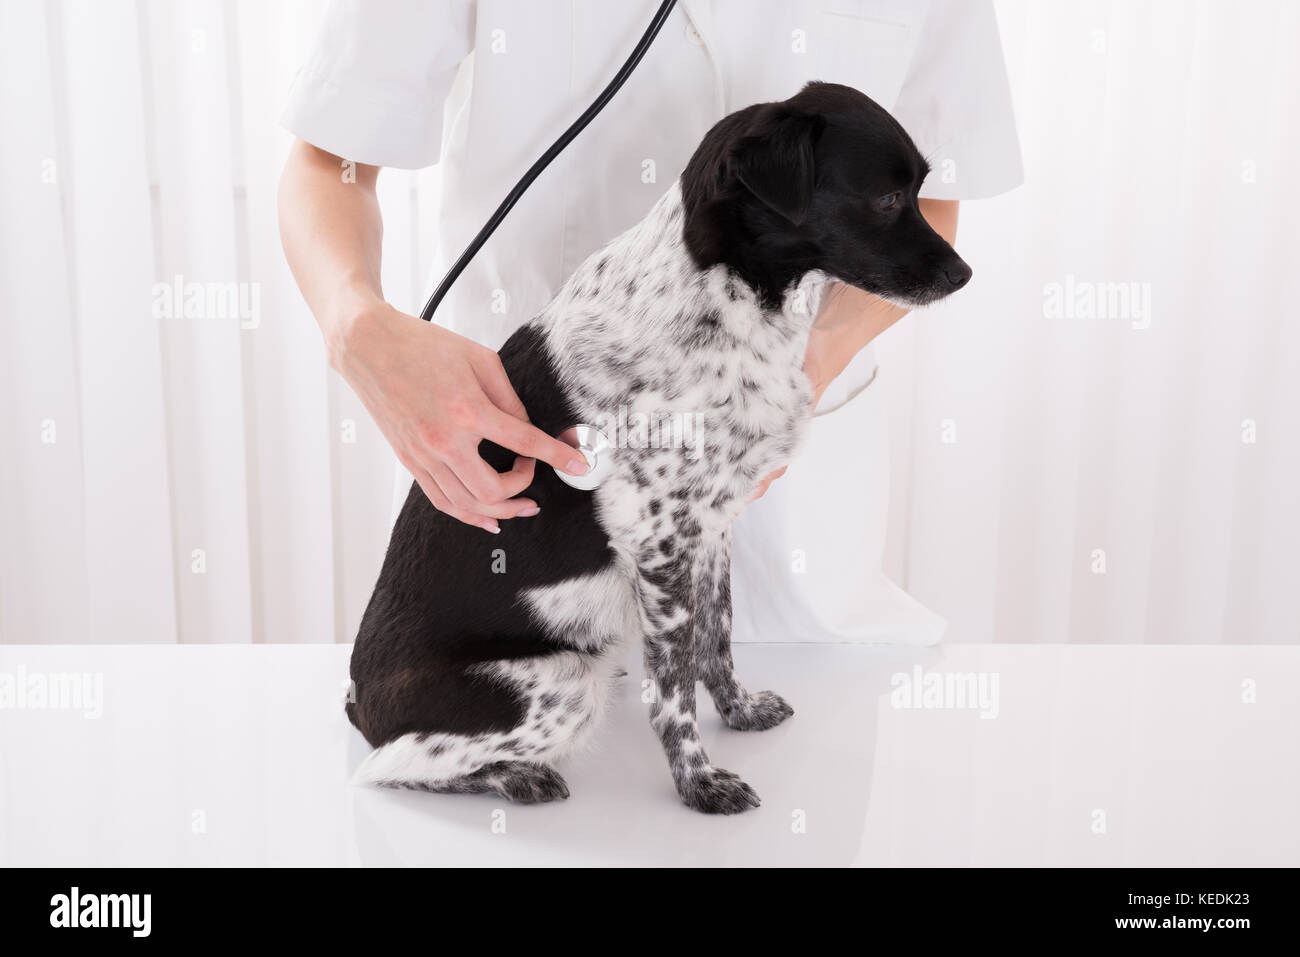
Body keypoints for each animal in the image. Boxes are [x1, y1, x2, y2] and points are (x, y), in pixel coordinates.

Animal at [351, 83, 972, 816]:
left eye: (920, 191)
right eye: (887, 199)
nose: (964, 272)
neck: (720, 306)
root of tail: (358, 702)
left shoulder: (710, 527)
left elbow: (715, 640)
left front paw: (738, 712)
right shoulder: (659, 541)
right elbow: (672, 689)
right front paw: (698, 783)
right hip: (565, 678)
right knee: (387, 767)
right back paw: (514, 774)